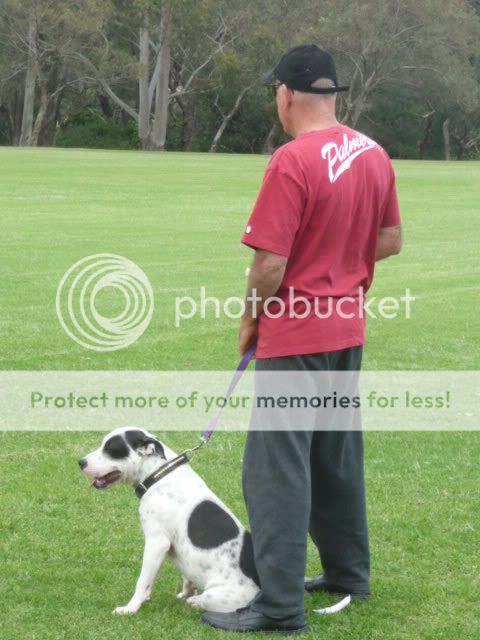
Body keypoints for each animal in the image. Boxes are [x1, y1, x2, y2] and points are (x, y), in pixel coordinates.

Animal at [79, 428, 258, 612]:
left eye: (110, 449)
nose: (81, 462)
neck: (157, 475)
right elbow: (184, 579)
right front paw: (184, 593)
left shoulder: (156, 543)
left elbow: (143, 581)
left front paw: (131, 608)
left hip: (217, 596)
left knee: (205, 600)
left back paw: (195, 601)